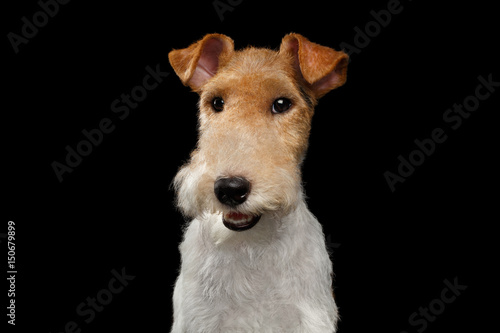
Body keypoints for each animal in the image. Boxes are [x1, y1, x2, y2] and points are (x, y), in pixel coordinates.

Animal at [168, 32, 348, 330]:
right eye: (217, 102)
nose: (230, 188)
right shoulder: (197, 319)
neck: (250, 247)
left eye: (282, 104)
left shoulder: (311, 317)